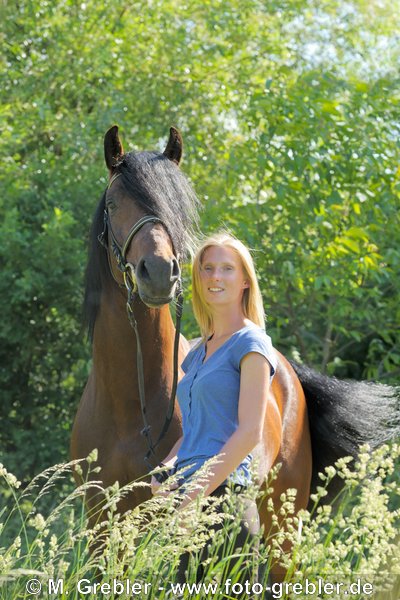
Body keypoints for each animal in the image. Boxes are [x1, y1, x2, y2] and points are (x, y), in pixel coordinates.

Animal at [70, 125, 398, 572]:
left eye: (179, 206)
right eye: (115, 202)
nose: (159, 272)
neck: (130, 406)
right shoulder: (102, 527)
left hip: (279, 531)